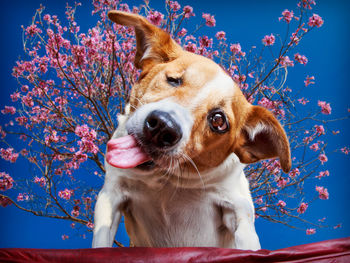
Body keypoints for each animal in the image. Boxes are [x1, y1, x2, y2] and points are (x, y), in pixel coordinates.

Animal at [91, 10, 292, 252]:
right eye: (173, 80)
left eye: (218, 121)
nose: (163, 126)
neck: (166, 181)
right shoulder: (110, 196)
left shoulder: (239, 209)